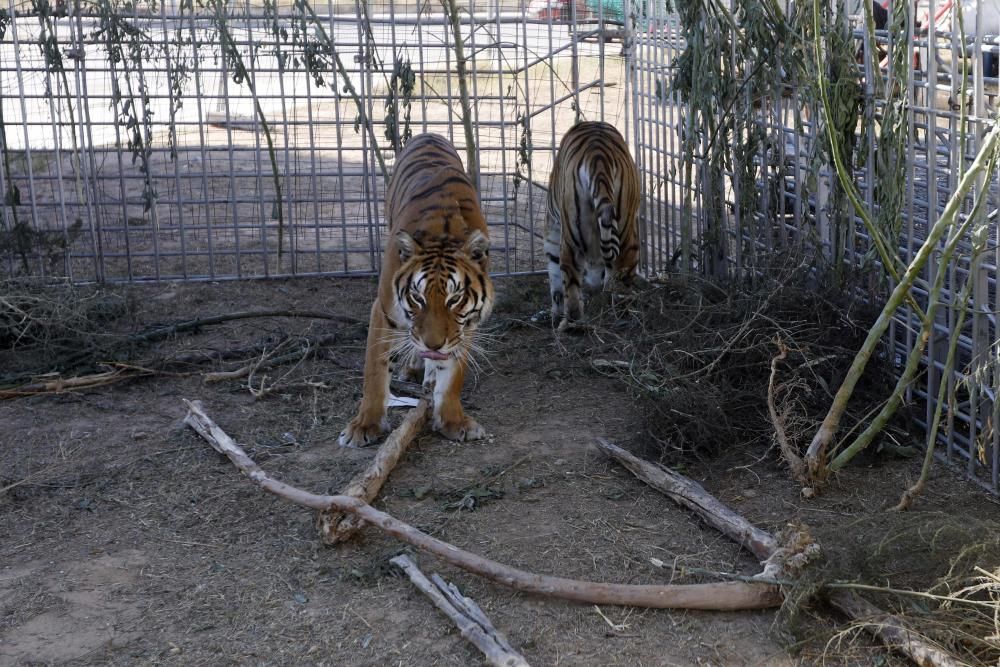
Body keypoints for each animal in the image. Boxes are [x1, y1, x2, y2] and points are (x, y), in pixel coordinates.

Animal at [338, 134, 494, 448]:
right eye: (418, 297)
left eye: (455, 299)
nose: (433, 345)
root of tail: (428, 134)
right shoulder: (383, 310)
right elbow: (374, 371)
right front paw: (364, 426)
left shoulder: (465, 326)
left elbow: (453, 377)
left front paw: (453, 421)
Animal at [548, 120, 640, 324]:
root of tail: (598, 156)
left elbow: (555, 279)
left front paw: (555, 313)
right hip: (625, 236)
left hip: (571, 240)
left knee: (573, 287)